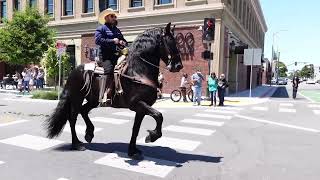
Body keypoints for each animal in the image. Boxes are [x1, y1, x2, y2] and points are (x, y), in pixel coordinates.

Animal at [44, 22, 182, 159]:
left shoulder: (141, 108)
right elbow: (159, 116)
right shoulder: (136, 104)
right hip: (77, 98)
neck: (139, 71)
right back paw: (77, 144)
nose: (178, 66)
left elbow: (136, 128)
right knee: (72, 118)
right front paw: (151, 136)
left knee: (83, 111)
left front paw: (133, 150)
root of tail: (74, 70)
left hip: (93, 100)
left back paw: (89, 133)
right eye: (170, 42)